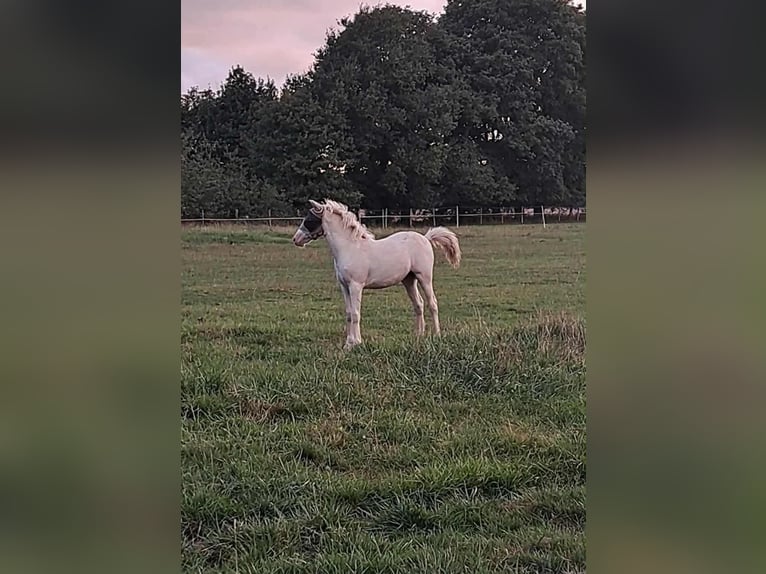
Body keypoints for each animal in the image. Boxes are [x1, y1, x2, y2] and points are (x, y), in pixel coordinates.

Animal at [292, 199, 461, 349]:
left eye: (309, 219)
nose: (295, 239)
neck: (350, 247)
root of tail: (426, 238)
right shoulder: (344, 286)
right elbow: (348, 313)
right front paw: (348, 343)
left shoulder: (356, 286)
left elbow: (356, 314)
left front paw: (356, 343)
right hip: (409, 280)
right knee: (418, 304)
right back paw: (418, 335)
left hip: (424, 277)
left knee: (432, 303)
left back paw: (437, 335)